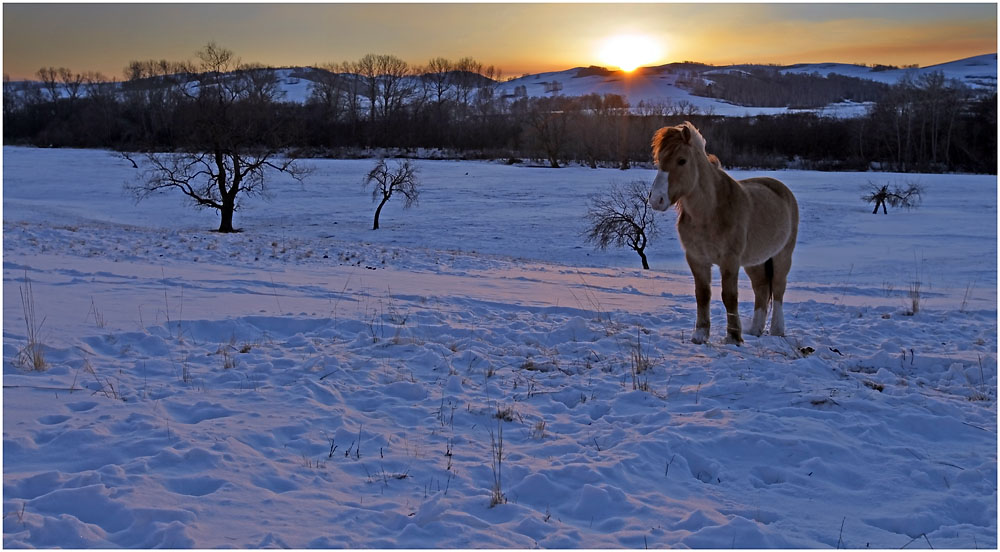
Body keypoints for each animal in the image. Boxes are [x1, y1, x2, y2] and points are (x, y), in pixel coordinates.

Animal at [648, 123, 796, 342]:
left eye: (681, 160)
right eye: (659, 161)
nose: (656, 199)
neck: (710, 212)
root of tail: (782, 189)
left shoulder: (729, 260)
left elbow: (729, 297)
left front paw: (734, 337)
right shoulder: (697, 259)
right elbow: (702, 295)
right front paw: (700, 335)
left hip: (782, 255)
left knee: (778, 289)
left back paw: (777, 331)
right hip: (755, 261)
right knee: (761, 289)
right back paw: (755, 330)